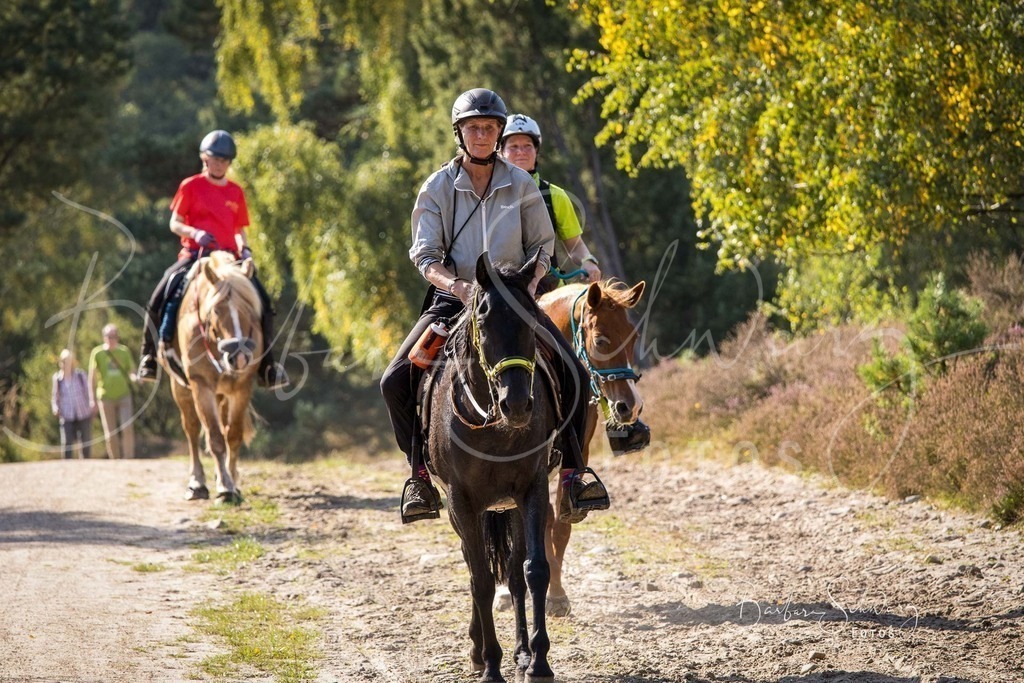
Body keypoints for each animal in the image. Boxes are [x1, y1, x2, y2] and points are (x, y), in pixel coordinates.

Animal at [161, 250, 263, 504]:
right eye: (216, 310)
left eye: (249, 309)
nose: (239, 356)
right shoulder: (201, 385)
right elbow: (215, 438)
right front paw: (225, 487)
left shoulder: (241, 387)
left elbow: (232, 435)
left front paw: (232, 481)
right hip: (181, 388)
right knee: (192, 429)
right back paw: (197, 483)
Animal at [425, 252, 559, 683]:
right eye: (483, 322)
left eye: (532, 321)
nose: (516, 404)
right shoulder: (461, 501)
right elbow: (481, 581)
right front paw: (490, 665)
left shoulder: (532, 489)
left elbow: (534, 571)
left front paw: (538, 661)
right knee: (474, 567)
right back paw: (477, 650)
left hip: (507, 506)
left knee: (514, 574)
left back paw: (520, 651)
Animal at [537, 279, 646, 617]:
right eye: (600, 340)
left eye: (633, 337)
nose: (629, 407)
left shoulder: (576, 453)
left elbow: (562, 522)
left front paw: (556, 593)